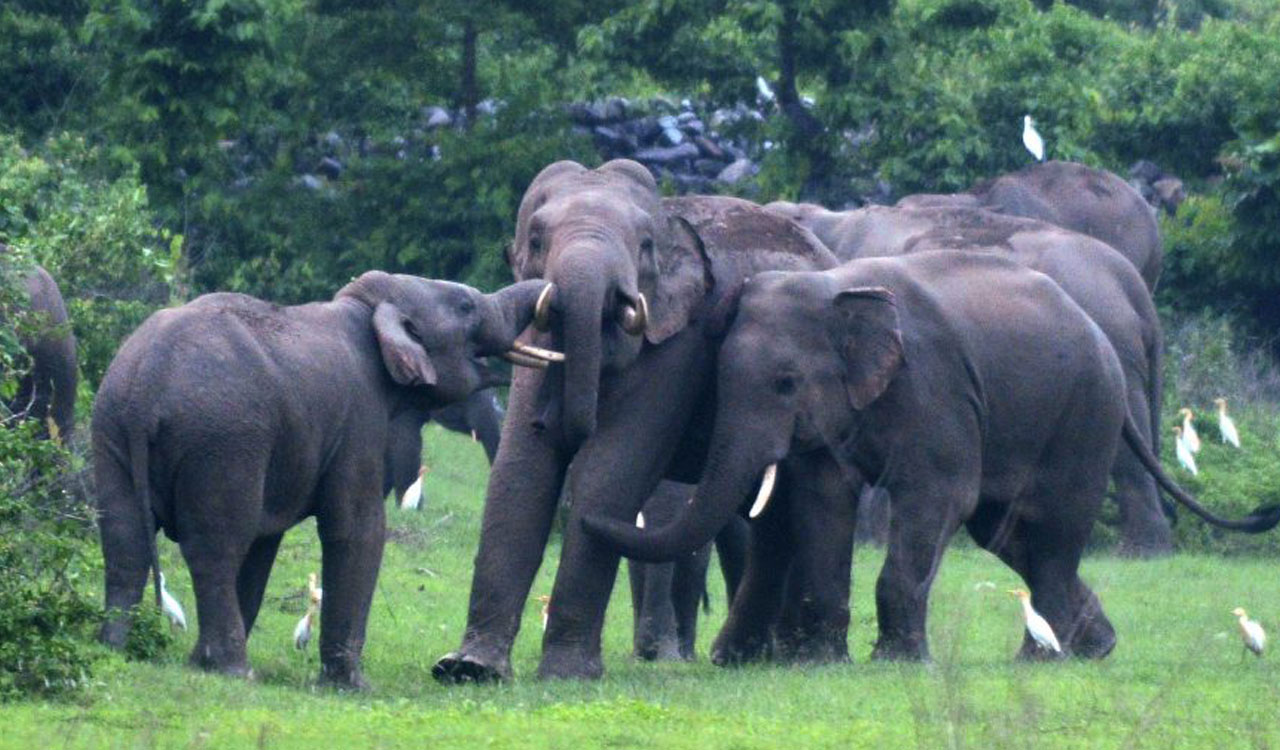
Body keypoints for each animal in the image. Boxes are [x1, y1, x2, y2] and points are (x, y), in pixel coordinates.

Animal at [93, 272, 555, 687]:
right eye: (465, 306)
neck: (369, 308)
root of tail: (147, 385)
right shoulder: (360, 416)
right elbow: (357, 529)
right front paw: (352, 687)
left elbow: (265, 541)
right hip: (221, 441)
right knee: (216, 548)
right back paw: (234, 670)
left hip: (113, 427)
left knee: (124, 540)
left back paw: (117, 649)